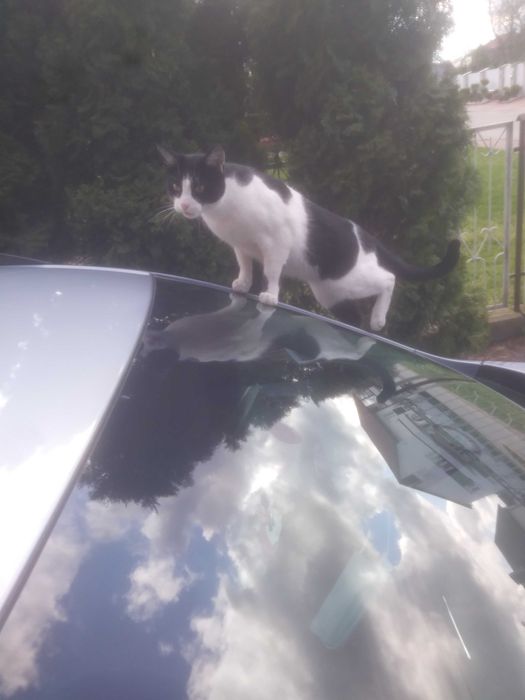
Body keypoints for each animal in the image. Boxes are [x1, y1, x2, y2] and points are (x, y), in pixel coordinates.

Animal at [158, 145, 460, 332]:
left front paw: (270, 295)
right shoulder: (240, 245)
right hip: (332, 293)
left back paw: (378, 320)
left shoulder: (276, 242)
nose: (184, 206)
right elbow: (245, 265)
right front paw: (242, 284)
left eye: (199, 187)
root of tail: (366, 235)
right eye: (175, 187)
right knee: (355, 319)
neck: (224, 207)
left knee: (389, 278)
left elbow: (271, 271)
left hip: (350, 277)